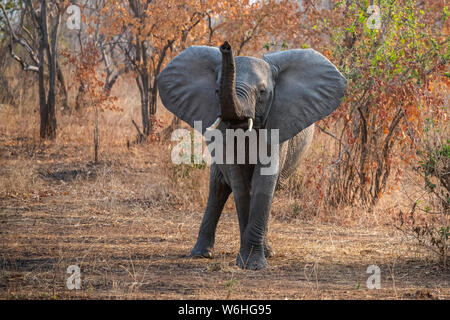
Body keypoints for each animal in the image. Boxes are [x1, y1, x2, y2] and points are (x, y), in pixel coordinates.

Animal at [156, 40, 346, 270]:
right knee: (218, 188)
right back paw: (202, 254)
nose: (226, 46)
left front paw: (254, 264)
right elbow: (239, 185)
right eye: (216, 90)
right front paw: (247, 261)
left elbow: (263, 183)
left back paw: (268, 251)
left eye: (262, 92)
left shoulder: (277, 125)